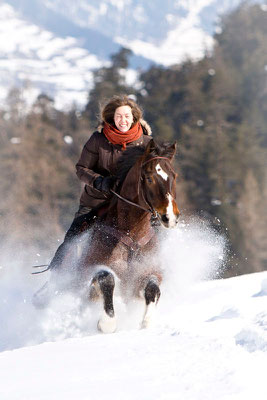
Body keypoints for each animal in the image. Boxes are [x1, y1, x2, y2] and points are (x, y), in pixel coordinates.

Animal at [75, 139, 180, 332]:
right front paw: (107, 323)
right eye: (149, 178)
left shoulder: (149, 271)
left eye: (173, 176)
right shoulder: (92, 271)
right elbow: (107, 279)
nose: (170, 217)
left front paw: (146, 322)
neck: (132, 235)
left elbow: (152, 288)